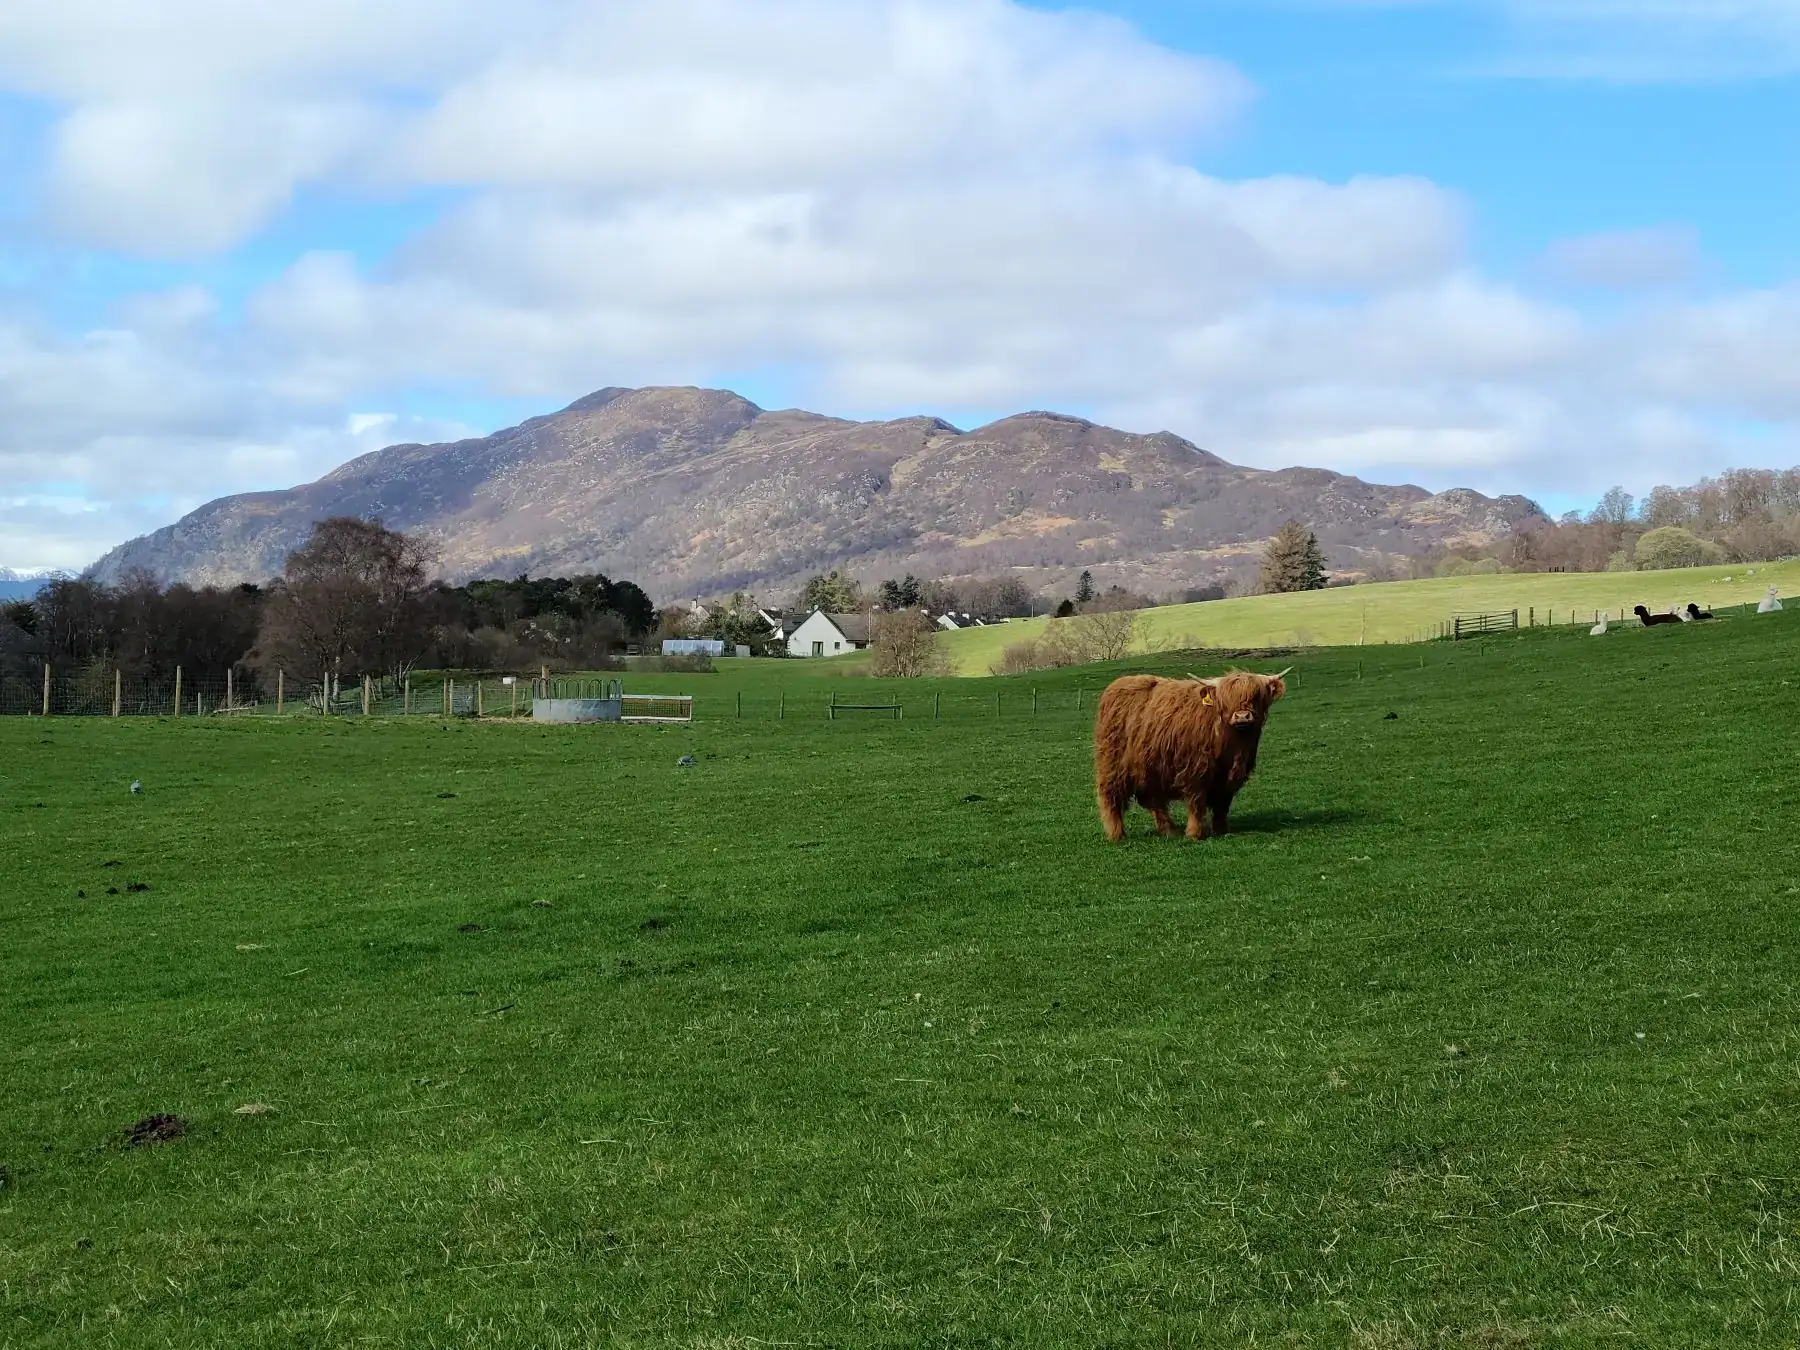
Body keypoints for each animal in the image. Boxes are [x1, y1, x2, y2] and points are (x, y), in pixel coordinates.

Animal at [1093, 669, 1287, 842]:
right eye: (1226, 700)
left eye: (1257, 696)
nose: (1242, 716)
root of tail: (1117, 684)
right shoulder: (1195, 770)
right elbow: (1196, 802)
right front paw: (1195, 833)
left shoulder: (1231, 776)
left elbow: (1223, 804)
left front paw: (1221, 829)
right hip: (1114, 763)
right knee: (1111, 796)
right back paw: (1117, 834)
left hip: (1148, 766)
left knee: (1152, 799)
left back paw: (1170, 830)